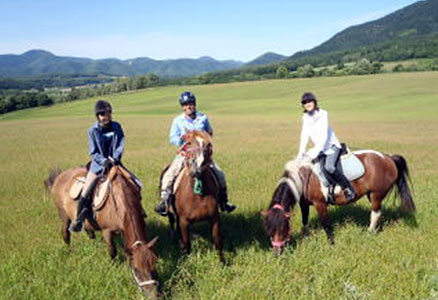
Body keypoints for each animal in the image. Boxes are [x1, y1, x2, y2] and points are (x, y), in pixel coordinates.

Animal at [44, 165, 160, 298]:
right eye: (135, 270)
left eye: (154, 265)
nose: (153, 296)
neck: (119, 200)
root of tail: (60, 176)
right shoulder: (107, 231)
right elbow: (112, 251)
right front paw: (114, 268)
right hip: (63, 215)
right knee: (66, 234)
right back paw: (70, 251)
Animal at [163, 130, 228, 264]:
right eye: (188, 143)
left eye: (208, 145)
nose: (197, 168)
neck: (198, 196)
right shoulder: (184, 221)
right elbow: (187, 244)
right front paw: (186, 262)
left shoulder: (214, 218)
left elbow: (217, 240)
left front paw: (223, 262)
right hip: (171, 213)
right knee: (172, 224)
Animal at [262, 151, 416, 254]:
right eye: (269, 229)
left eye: (283, 228)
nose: (276, 253)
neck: (304, 176)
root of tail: (388, 158)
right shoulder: (303, 204)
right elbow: (305, 221)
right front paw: (305, 235)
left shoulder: (320, 204)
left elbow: (326, 224)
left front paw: (331, 243)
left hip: (376, 195)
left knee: (375, 213)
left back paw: (369, 232)